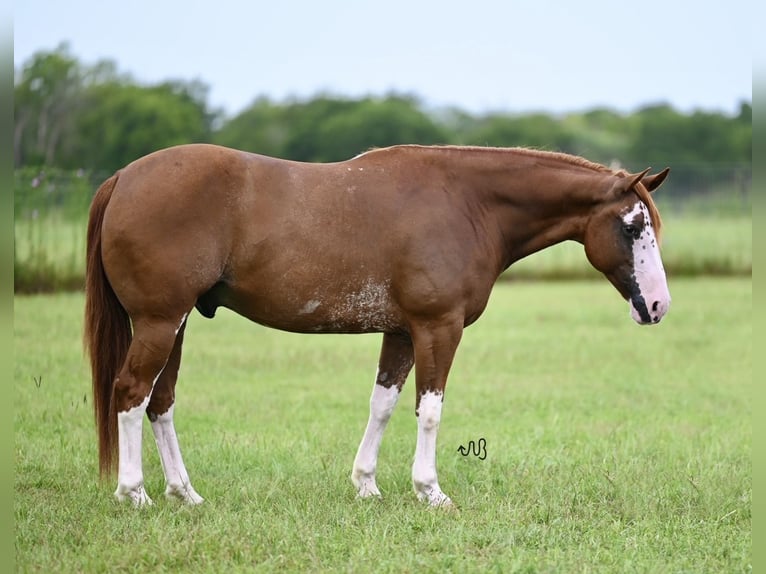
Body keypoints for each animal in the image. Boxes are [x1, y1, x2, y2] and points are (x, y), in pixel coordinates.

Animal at [85, 144, 672, 508]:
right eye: (631, 226)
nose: (658, 305)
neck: (467, 202)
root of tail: (123, 178)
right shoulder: (438, 327)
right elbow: (429, 410)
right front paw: (430, 490)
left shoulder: (402, 331)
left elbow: (383, 404)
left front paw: (366, 485)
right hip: (160, 322)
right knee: (132, 392)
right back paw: (134, 493)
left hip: (177, 324)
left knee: (160, 401)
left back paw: (185, 494)